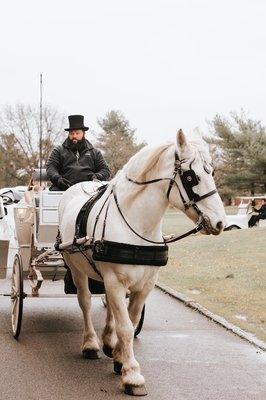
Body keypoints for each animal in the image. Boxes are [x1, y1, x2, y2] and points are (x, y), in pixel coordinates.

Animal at [58, 130, 227, 396]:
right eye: (191, 176)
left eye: (212, 172)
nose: (220, 222)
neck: (137, 224)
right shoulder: (115, 282)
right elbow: (126, 327)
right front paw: (132, 375)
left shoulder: (146, 283)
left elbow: (131, 319)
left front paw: (119, 358)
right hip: (76, 268)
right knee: (85, 302)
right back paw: (91, 344)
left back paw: (108, 342)